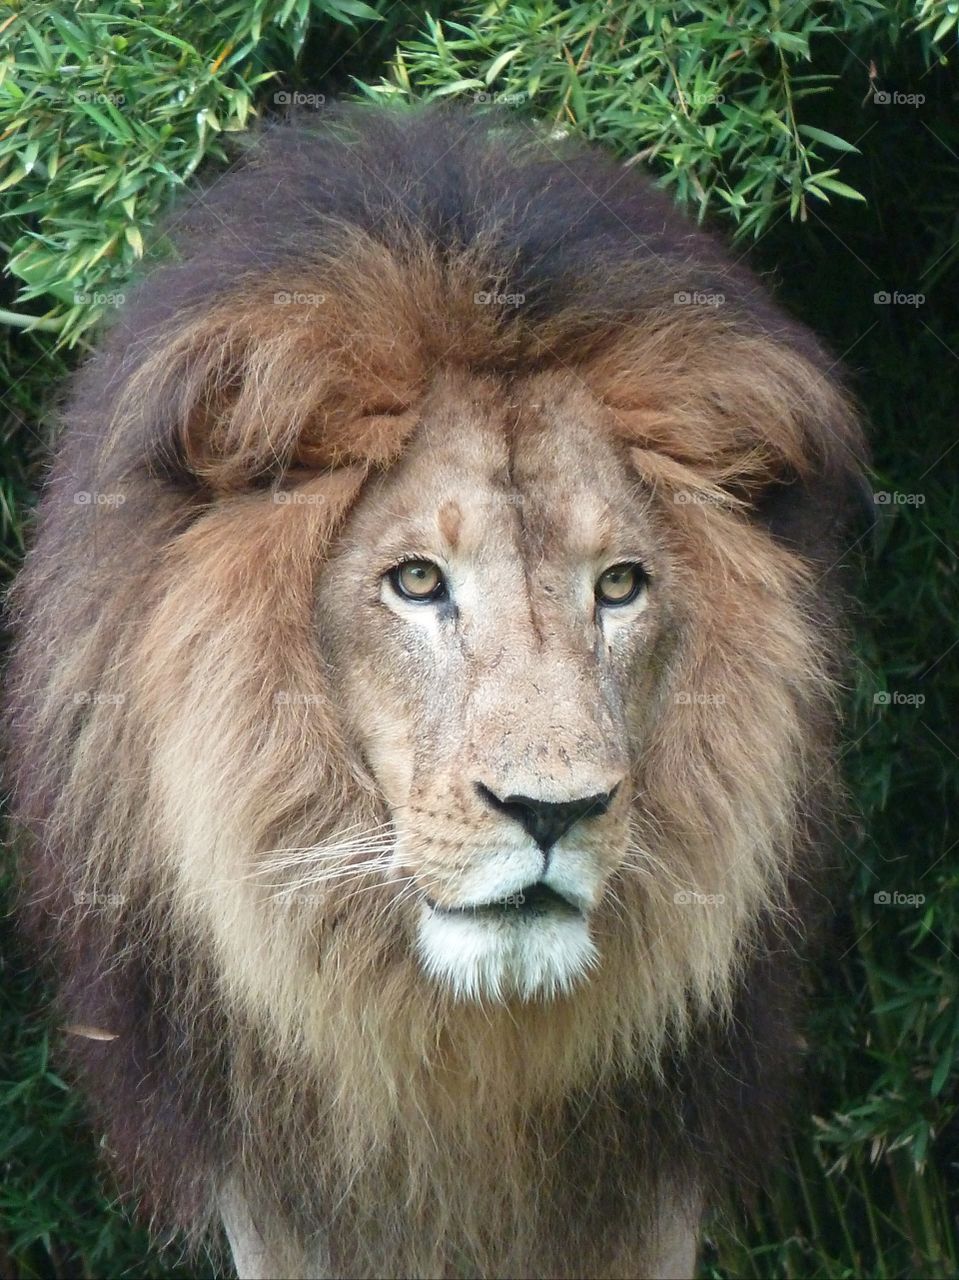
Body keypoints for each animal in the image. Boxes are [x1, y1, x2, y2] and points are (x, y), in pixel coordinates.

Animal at [4, 105, 867, 1279]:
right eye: (416, 582)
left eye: (619, 585)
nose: (552, 811)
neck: (465, 1068)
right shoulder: (273, 1198)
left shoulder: (650, 1196)